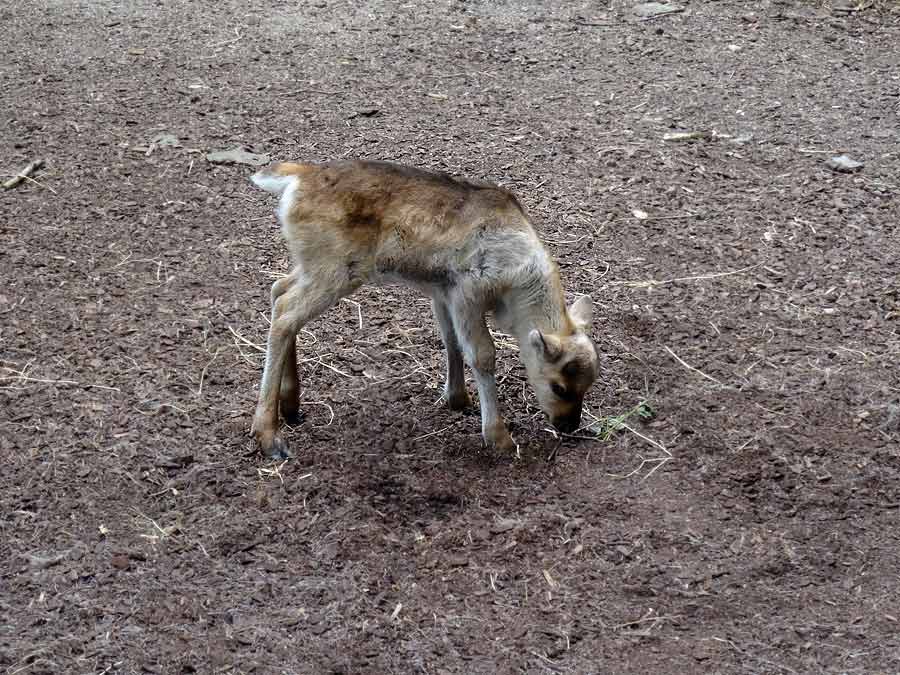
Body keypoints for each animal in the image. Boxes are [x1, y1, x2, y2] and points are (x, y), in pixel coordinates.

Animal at [248, 160, 596, 460]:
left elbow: (450, 340)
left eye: (589, 384)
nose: (569, 425)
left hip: (311, 265)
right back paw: (269, 436)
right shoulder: (467, 292)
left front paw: (457, 399)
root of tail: (295, 178)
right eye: (559, 387)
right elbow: (482, 354)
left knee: (278, 289)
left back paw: (290, 405)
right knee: (285, 313)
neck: (516, 287)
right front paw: (499, 438)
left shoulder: (442, 293)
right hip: (335, 269)